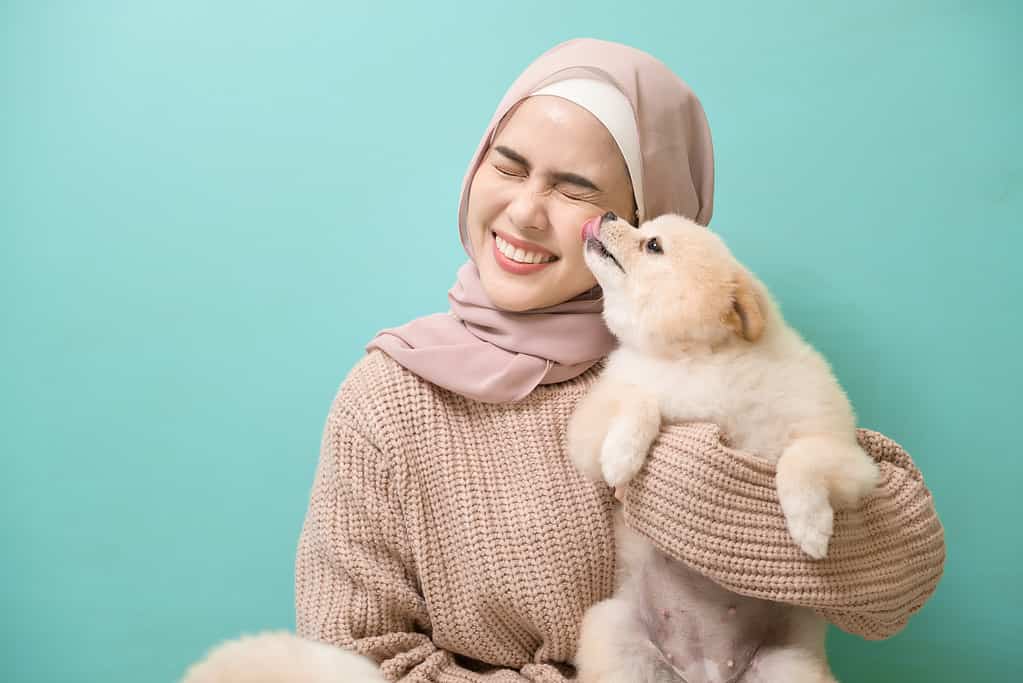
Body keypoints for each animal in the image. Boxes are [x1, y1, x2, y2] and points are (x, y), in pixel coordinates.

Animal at [568, 213, 879, 683]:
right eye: (643, 227)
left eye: (652, 245)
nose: (606, 216)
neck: (696, 364)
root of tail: (706, 671)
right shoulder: (590, 427)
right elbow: (640, 399)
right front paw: (622, 456)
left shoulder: (848, 455)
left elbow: (798, 460)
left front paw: (810, 527)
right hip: (613, 631)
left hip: (788, 664)